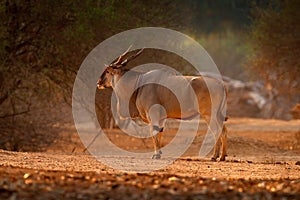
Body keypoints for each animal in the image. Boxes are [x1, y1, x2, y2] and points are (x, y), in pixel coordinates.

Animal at [97, 47, 229, 161]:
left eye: (107, 71)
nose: (98, 82)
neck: (139, 83)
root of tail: (221, 85)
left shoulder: (153, 114)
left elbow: (153, 132)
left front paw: (156, 155)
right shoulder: (161, 118)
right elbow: (159, 132)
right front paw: (159, 153)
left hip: (209, 115)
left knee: (217, 131)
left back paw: (214, 156)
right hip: (217, 115)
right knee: (223, 131)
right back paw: (222, 156)